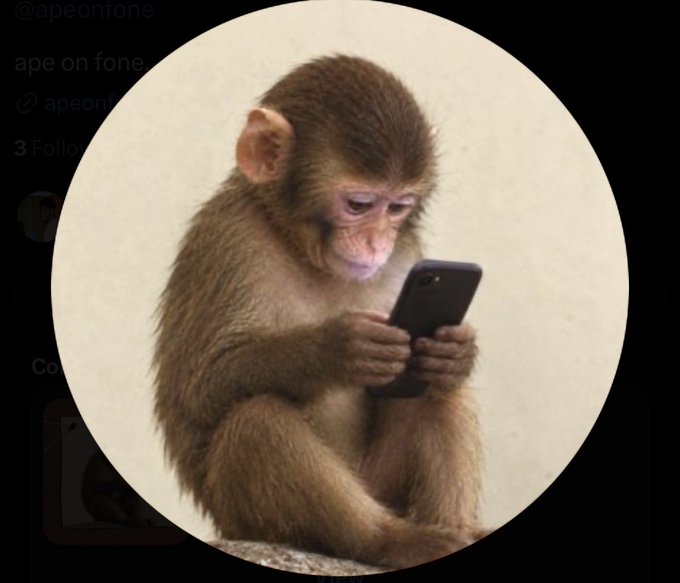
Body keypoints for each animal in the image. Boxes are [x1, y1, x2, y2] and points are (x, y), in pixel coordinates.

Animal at [153, 55, 483, 569]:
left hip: (381, 483)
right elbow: (202, 386)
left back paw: (454, 528)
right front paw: (339, 347)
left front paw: (456, 350)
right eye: (359, 205)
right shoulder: (228, 239)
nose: (377, 243)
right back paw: (385, 540)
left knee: (437, 391)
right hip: (247, 519)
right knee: (257, 419)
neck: (299, 245)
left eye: (398, 208)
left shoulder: (408, 255)